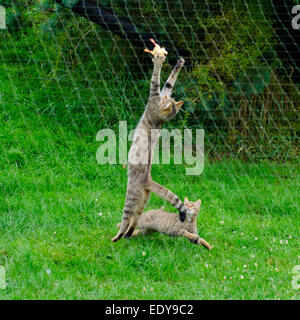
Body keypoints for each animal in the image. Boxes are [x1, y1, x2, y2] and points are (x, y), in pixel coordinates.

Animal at [111, 40, 193, 241]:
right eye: (170, 98)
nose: (168, 99)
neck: (161, 119)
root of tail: (148, 180)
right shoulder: (161, 93)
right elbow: (169, 82)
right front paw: (178, 64)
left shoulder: (154, 96)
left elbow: (155, 80)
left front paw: (158, 62)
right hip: (142, 201)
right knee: (135, 219)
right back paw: (128, 234)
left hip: (130, 199)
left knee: (127, 218)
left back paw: (117, 236)